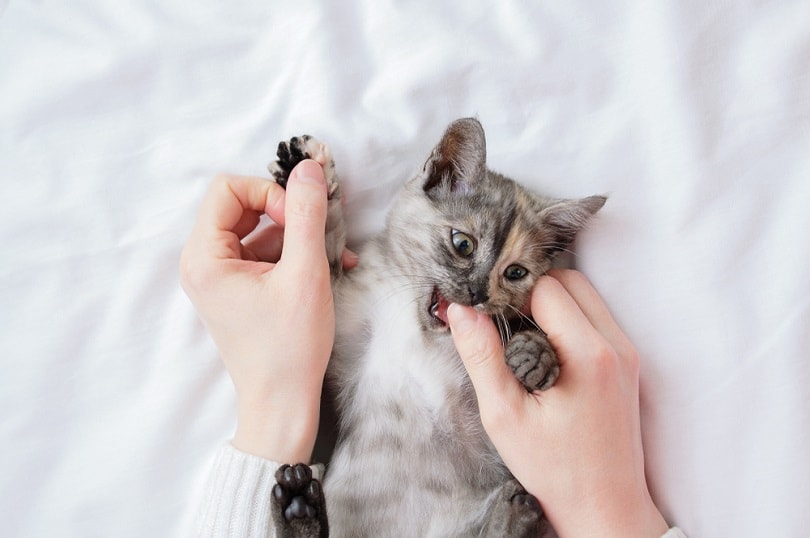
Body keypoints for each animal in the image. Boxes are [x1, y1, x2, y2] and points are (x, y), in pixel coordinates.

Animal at [268, 119, 604, 532]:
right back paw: (299, 509)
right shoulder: (344, 332)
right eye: (463, 244)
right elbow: (326, 249)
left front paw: (535, 355)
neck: (422, 333)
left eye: (515, 273)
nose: (477, 292)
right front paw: (306, 166)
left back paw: (513, 517)